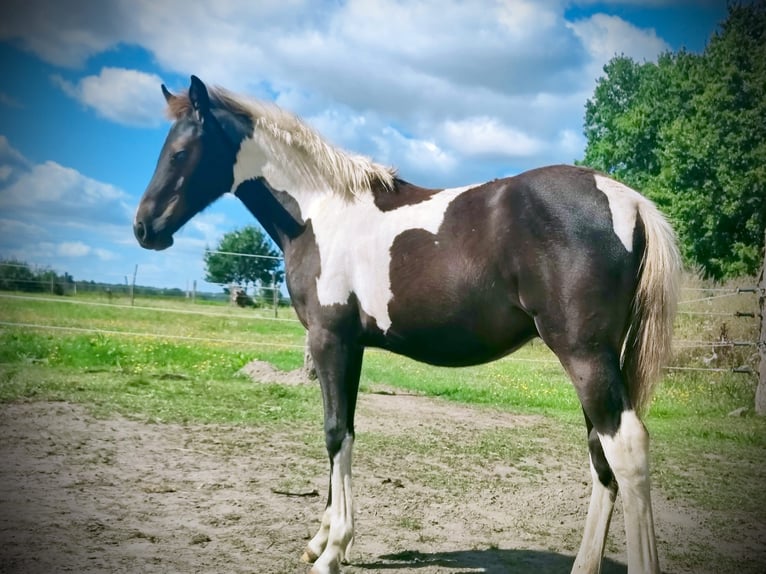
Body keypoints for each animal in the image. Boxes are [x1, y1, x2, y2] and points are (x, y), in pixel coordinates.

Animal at [133, 76, 681, 574]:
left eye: (180, 153)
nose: (143, 228)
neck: (319, 214)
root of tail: (629, 201)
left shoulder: (329, 340)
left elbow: (334, 432)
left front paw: (331, 552)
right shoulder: (350, 346)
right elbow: (346, 429)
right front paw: (322, 540)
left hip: (584, 354)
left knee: (626, 450)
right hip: (597, 358)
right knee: (600, 456)